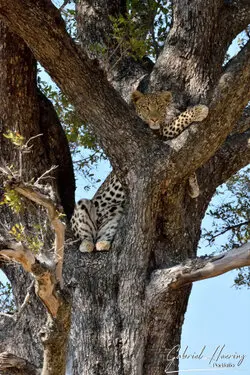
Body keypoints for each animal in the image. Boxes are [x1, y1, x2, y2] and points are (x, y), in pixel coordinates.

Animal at [71, 90, 209, 253]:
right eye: (146, 107)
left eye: (160, 106)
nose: (154, 118)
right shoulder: (160, 135)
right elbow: (177, 121)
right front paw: (199, 110)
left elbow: (189, 168)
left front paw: (193, 188)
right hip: (83, 207)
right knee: (85, 234)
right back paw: (86, 244)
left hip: (116, 213)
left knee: (102, 236)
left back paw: (103, 243)